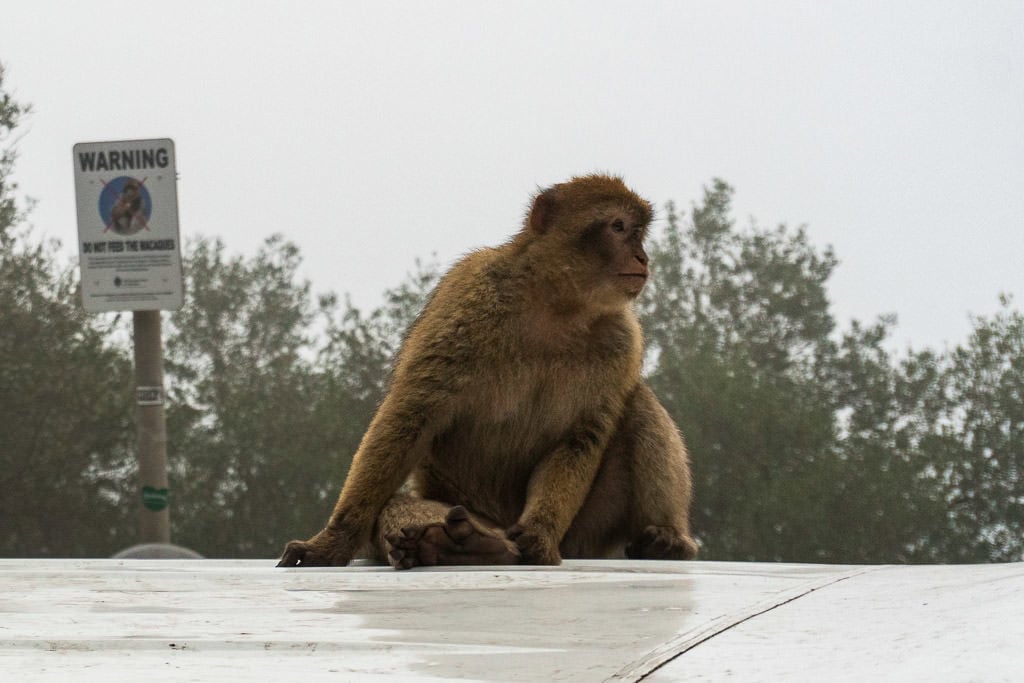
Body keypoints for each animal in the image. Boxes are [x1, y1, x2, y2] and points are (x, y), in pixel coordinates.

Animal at [276, 174, 700, 569]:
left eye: (638, 231)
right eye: (619, 227)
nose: (643, 258)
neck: (556, 306)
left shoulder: (622, 340)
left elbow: (581, 436)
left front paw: (539, 532)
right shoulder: (468, 296)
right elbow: (410, 417)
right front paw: (333, 541)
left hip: (583, 534)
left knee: (639, 405)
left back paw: (667, 541)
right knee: (397, 505)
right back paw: (458, 546)